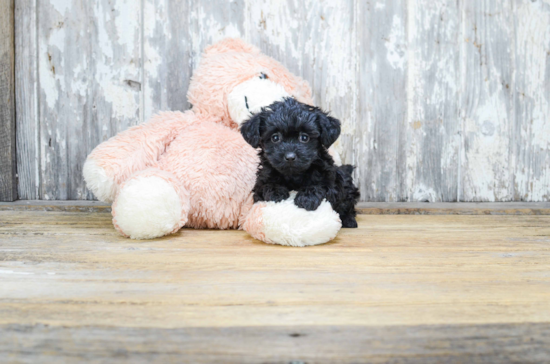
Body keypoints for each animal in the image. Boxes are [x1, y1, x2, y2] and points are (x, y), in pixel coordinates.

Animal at [239, 96, 360, 228]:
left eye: (304, 137)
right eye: (275, 137)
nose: (290, 157)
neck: (294, 175)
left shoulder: (330, 182)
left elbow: (320, 185)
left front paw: (306, 198)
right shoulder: (261, 183)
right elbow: (267, 185)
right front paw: (276, 192)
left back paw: (349, 221)